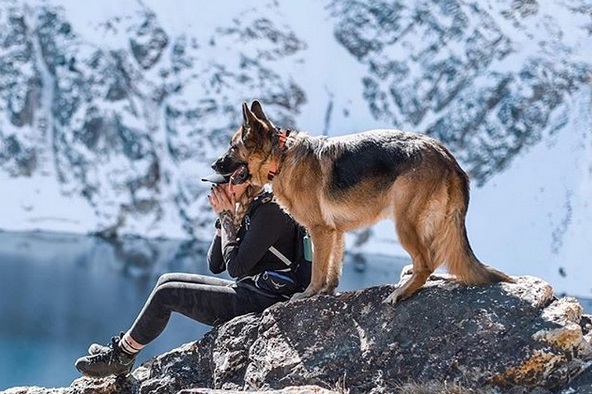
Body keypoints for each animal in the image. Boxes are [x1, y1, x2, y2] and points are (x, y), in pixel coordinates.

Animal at [214, 100, 512, 304]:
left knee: (426, 262)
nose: (214, 164)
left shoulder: (320, 231)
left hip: (405, 223)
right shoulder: (335, 232)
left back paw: (401, 292)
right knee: (436, 257)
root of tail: (447, 156)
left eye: (232, 147)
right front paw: (326, 292)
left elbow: (318, 269)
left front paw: (308, 294)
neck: (282, 156)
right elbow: (332, 267)